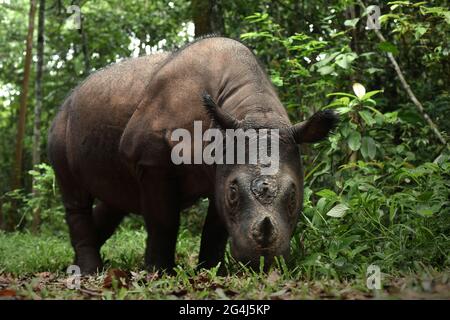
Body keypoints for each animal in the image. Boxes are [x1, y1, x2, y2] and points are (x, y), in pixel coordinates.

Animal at [49, 36, 338, 274]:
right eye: (234, 193)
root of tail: (67, 99)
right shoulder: (151, 159)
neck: (251, 110)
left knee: (115, 200)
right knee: (76, 197)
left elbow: (215, 228)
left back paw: (76, 266)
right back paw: (89, 272)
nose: (262, 261)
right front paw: (159, 273)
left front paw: (212, 272)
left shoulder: (222, 167)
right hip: (61, 126)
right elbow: (164, 221)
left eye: (294, 196)